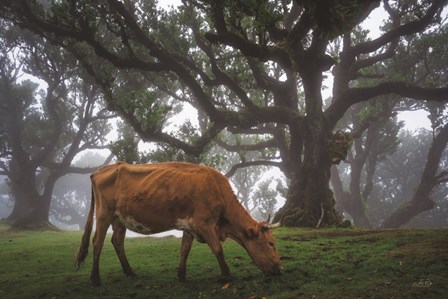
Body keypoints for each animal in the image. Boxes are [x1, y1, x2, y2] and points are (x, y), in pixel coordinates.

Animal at [75, 163, 282, 288]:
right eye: (271, 244)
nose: (280, 270)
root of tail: (103, 169)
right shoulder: (204, 223)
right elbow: (218, 249)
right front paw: (227, 275)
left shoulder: (189, 226)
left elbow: (185, 250)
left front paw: (182, 276)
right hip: (104, 213)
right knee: (97, 242)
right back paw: (95, 279)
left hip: (120, 219)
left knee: (117, 241)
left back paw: (130, 272)